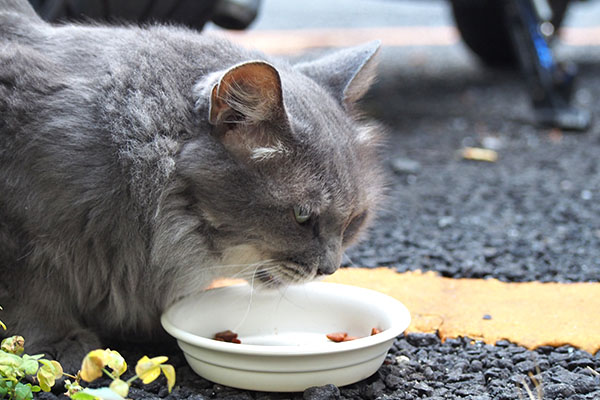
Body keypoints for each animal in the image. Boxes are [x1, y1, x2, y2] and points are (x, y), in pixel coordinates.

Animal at [0, 0, 384, 368]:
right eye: (302, 216)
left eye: (354, 221)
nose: (329, 268)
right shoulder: (23, 240)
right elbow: (33, 298)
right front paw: (52, 347)